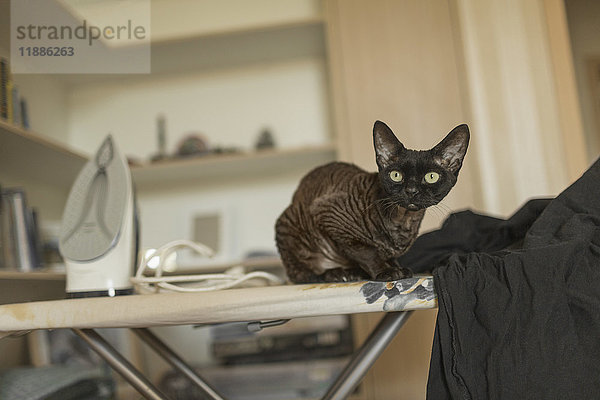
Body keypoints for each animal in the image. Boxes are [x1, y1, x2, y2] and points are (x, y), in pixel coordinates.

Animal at [276, 120, 468, 282]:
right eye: (396, 175)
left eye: (431, 177)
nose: (411, 191)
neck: (404, 220)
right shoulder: (329, 217)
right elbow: (367, 252)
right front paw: (386, 271)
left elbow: (389, 257)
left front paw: (397, 267)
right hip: (289, 224)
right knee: (302, 275)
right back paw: (337, 274)